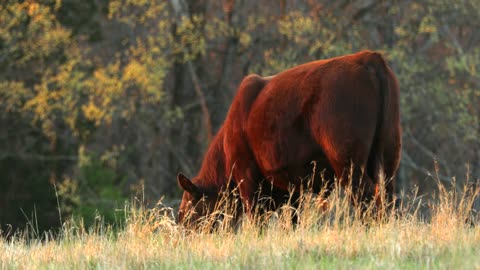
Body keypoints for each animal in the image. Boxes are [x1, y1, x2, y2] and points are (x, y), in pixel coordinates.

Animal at [177, 50, 402, 224]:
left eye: (186, 212)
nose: (184, 234)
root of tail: (367, 58)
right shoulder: (292, 189)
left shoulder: (247, 180)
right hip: (388, 157)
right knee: (387, 197)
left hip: (349, 163)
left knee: (367, 198)